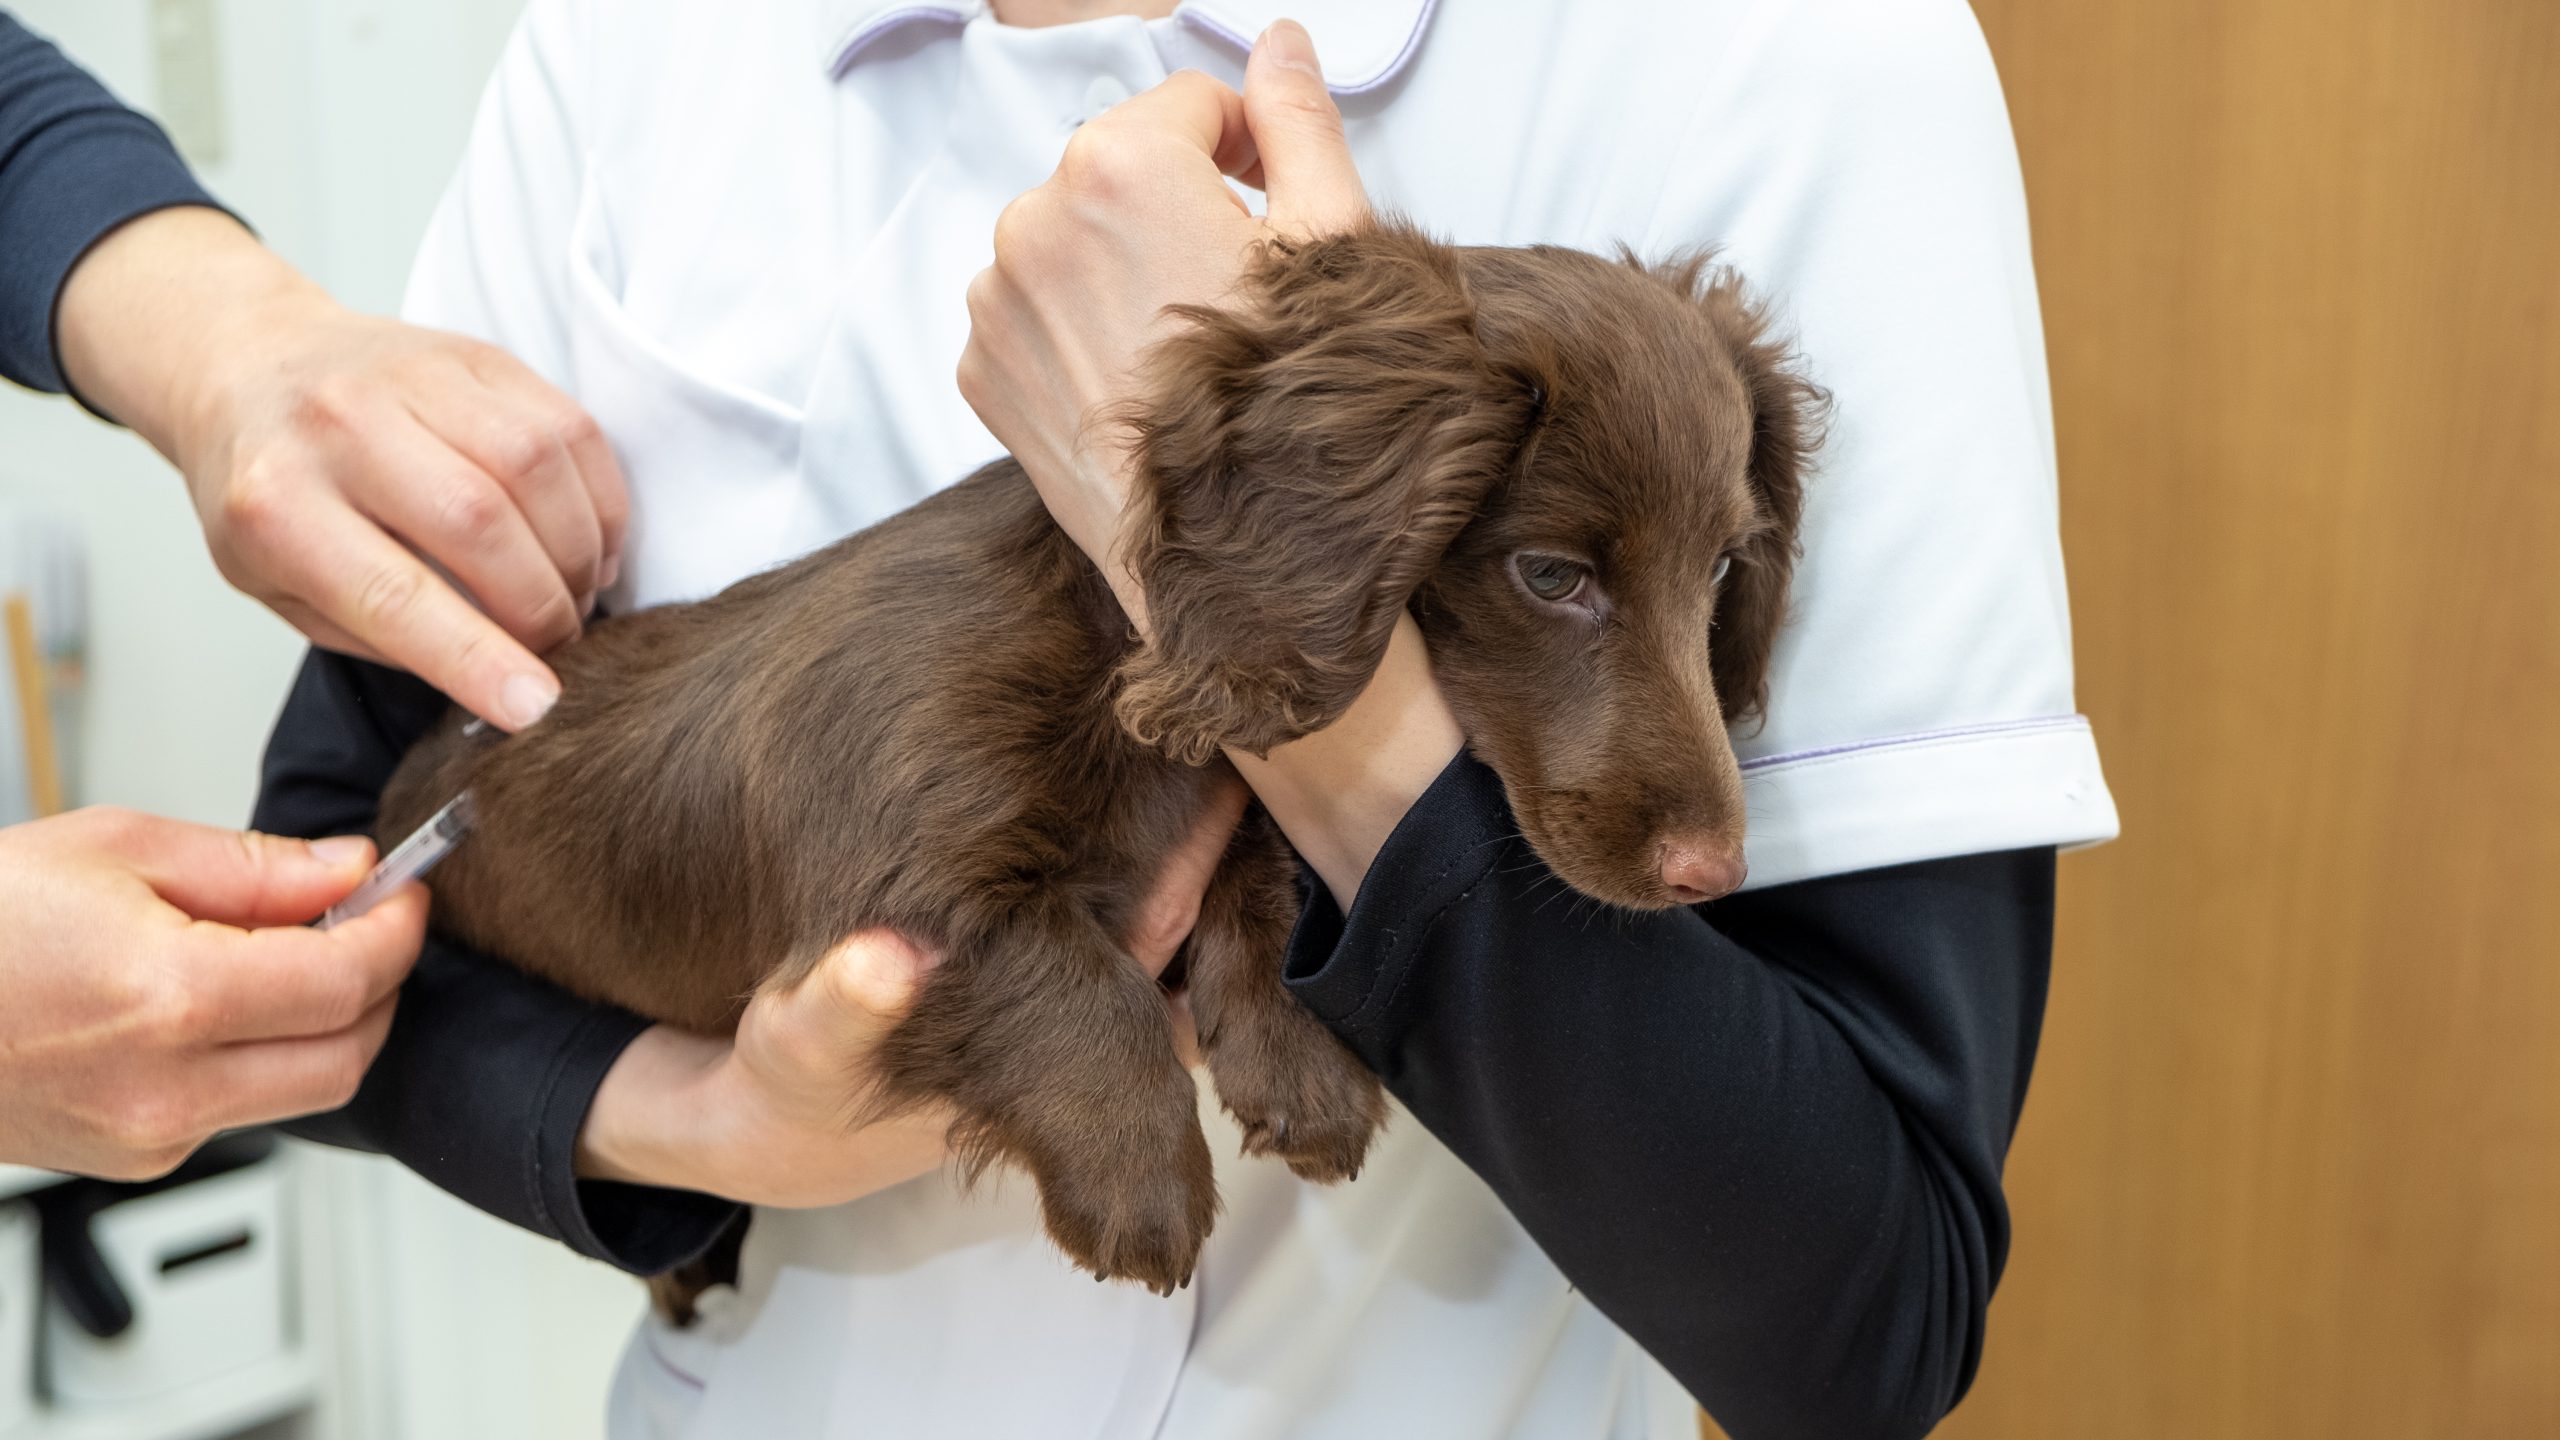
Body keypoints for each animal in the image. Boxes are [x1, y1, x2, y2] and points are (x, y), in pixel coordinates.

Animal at [373, 219, 1822, 1306]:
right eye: (1551, 576)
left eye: (1721, 570)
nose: (1713, 871)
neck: (1117, 655)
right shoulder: (905, 876)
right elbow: (1063, 976)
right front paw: (1142, 1186)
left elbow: (1259, 855)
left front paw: (1294, 1060)